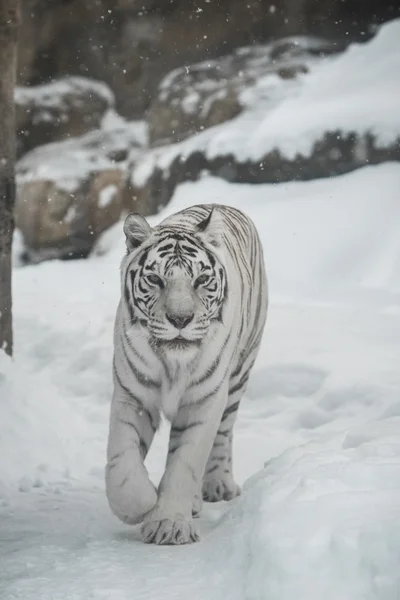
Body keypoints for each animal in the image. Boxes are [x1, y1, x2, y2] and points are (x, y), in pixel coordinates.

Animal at [106, 204, 268, 548]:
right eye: (155, 279)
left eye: (201, 279)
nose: (180, 319)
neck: (173, 363)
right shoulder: (133, 395)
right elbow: (123, 457)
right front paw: (139, 504)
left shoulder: (203, 401)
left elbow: (185, 461)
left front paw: (168, 524)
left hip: (239, 375)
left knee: (223, 434)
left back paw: (218, 485)